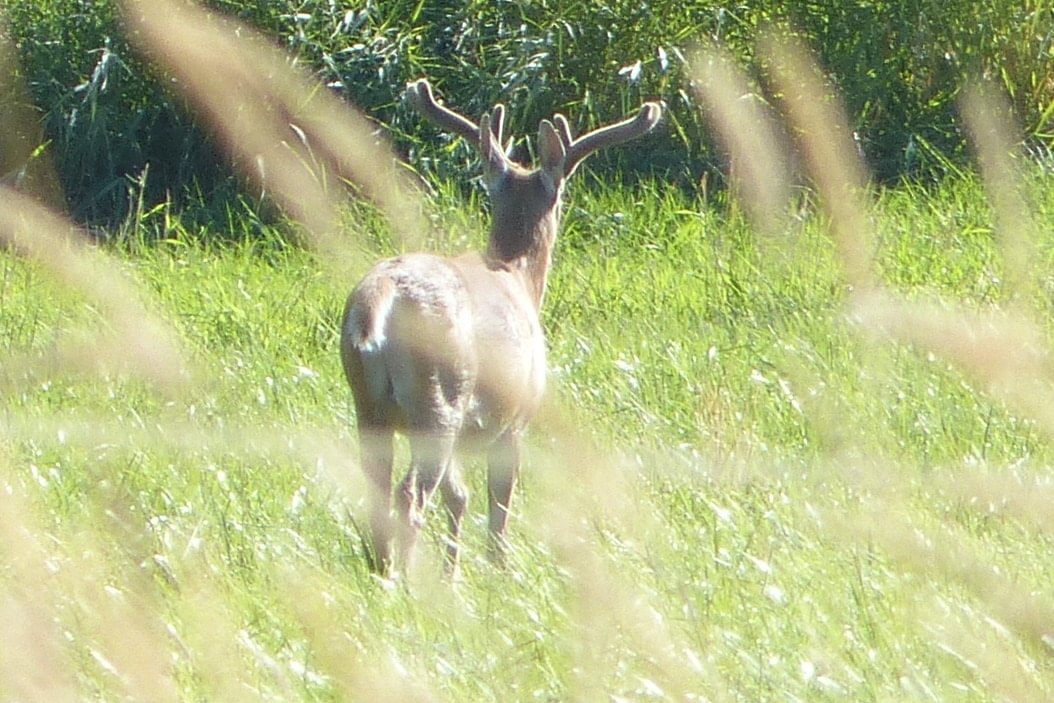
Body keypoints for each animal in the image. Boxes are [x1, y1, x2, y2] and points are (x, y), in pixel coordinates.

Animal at [340, 78, 662, 577]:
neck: (518, 277)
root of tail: (377, 300)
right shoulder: (516, 416)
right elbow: (500, 499)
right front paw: (500, 568)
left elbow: (459, 496)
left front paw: (454, 573)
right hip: (439, 399)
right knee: (410, 494)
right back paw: (408, 582)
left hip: (370, 406)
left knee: (378, 487)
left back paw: (383, 569)